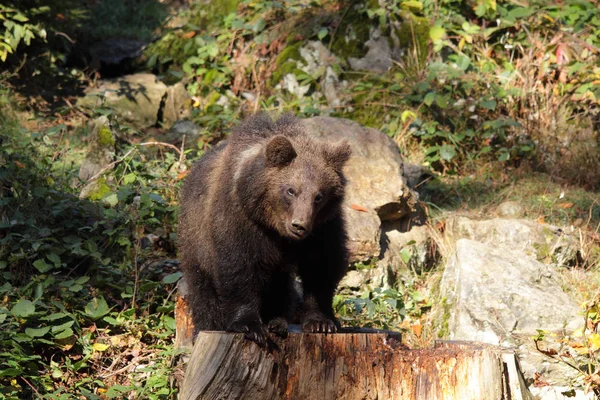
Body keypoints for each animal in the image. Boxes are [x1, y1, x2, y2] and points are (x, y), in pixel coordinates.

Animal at [177, 112, 352, 344]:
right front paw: (249, 325)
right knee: (202, 288)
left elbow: (321, 265)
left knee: (279, 285)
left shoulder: (323, 227)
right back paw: (208, 325)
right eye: (290, 190)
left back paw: (276, 321)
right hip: (195, 240)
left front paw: (321, 322)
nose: (299, 226)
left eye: (319, 196)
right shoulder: (241, 220)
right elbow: (238, 265)